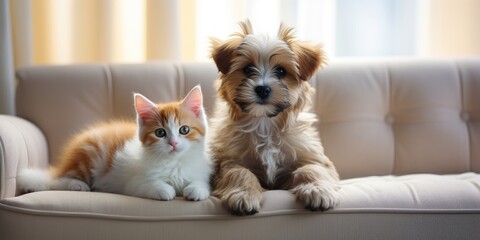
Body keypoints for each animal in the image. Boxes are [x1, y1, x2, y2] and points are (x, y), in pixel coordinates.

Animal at [17, 85, 212, 202]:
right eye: (160, 133)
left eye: (184, 130)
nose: (173, 143)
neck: (174, 162)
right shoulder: (134, 183)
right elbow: (150, 185)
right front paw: (165, 190)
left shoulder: (199, 172)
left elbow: (201, 183)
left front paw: (195, 190)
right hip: (88, 157)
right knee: (56, 180)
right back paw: (77, 185)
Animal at [210, 20, 342, 216]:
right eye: (247, 69)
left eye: (281, 71)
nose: (262, 89)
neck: (265, 123)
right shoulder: (229, 160)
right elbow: (239, 172)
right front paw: (244, 194)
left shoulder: (313, 156)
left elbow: (312, 168)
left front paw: (318, 190)